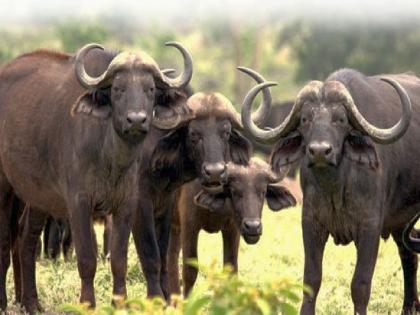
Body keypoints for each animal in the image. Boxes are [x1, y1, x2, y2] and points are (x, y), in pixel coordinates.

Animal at [0, 41, 193, 314]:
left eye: (150, 89)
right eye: (118, 89)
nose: (136, 120)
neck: (109, 155)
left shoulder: (126, 205)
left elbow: (119, 259)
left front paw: (119, 303)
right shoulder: (79, 203)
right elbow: (87, 258)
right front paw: (87, 304)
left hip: (37, 196)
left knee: (27, 238)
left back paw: (31, 303)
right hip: (4, 186)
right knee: (5, 240)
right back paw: (4, 302)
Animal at [167, 159, 296, 298]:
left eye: (263, 192)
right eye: (234, 192)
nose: (253, 227)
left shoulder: (232, 229)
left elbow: (231, 271)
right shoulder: (190, 225)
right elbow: (190, 271)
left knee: (171, 257)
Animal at [240, 68, 416, 314]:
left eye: (340, 120)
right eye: (305, 119)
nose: (320, 151)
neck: (335, 187)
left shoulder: (370, 226)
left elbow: (360, 283)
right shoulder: (311, 223)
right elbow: (311, 279)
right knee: (408, 255)